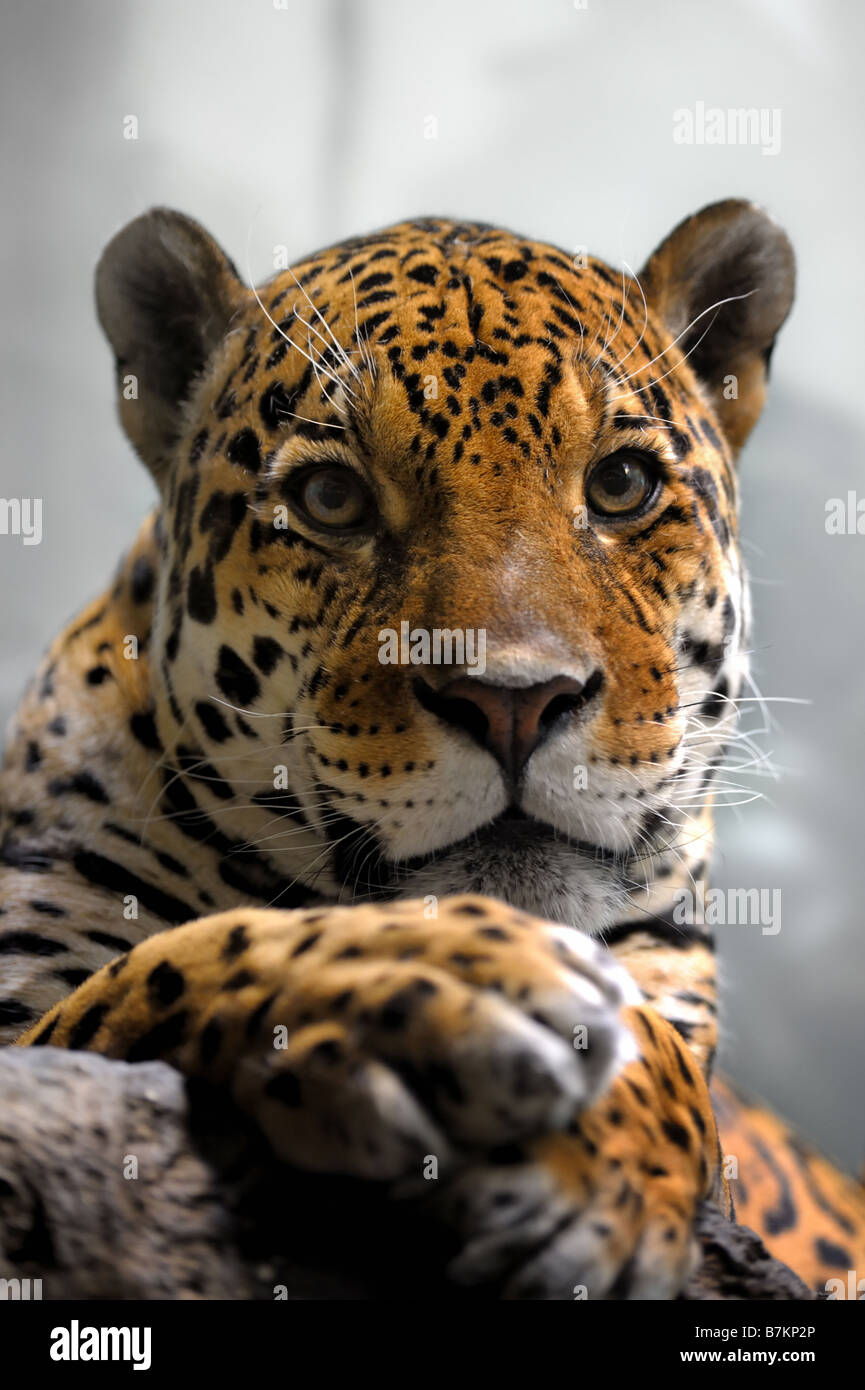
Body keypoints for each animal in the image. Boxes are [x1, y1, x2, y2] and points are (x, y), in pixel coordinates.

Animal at [2, 197, 863, 1298]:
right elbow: (170, 962)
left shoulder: (671, 959)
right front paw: (440, 976)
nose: (514, 701)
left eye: (621, 483)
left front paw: (608, 1188)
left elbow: (655, 1041)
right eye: (330, 499)